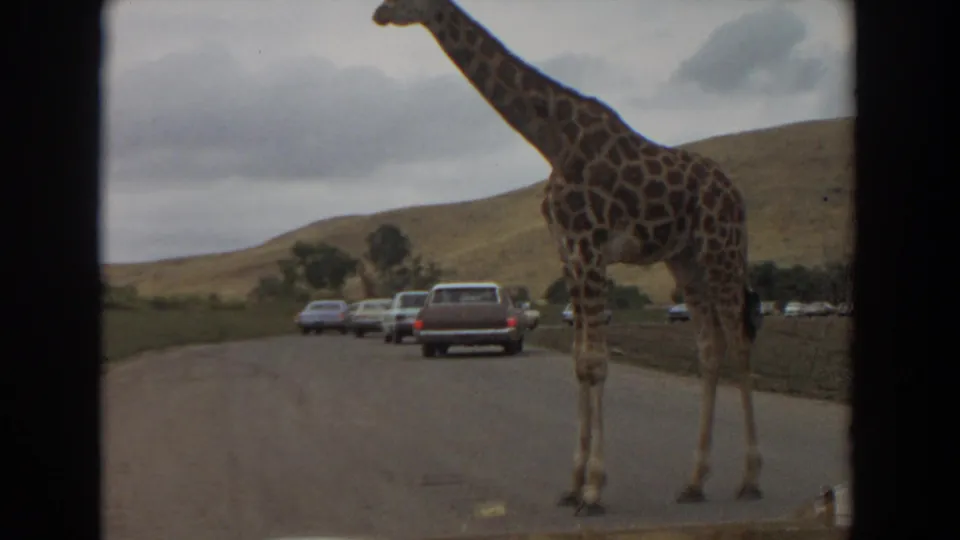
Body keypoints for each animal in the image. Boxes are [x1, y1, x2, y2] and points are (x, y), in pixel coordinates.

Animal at [371, 0, 765, 515]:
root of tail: (737, 195)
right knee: (711, 348)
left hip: (722, 250)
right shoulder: (569, 255)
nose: (378, 13)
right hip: (686, 260)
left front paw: (594, 489)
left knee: (739, 342)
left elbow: (596, 363)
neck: (553, 140)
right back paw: (695, 481)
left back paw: (750, 479)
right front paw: (574, 484)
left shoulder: (590, 248)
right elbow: (580, 362)